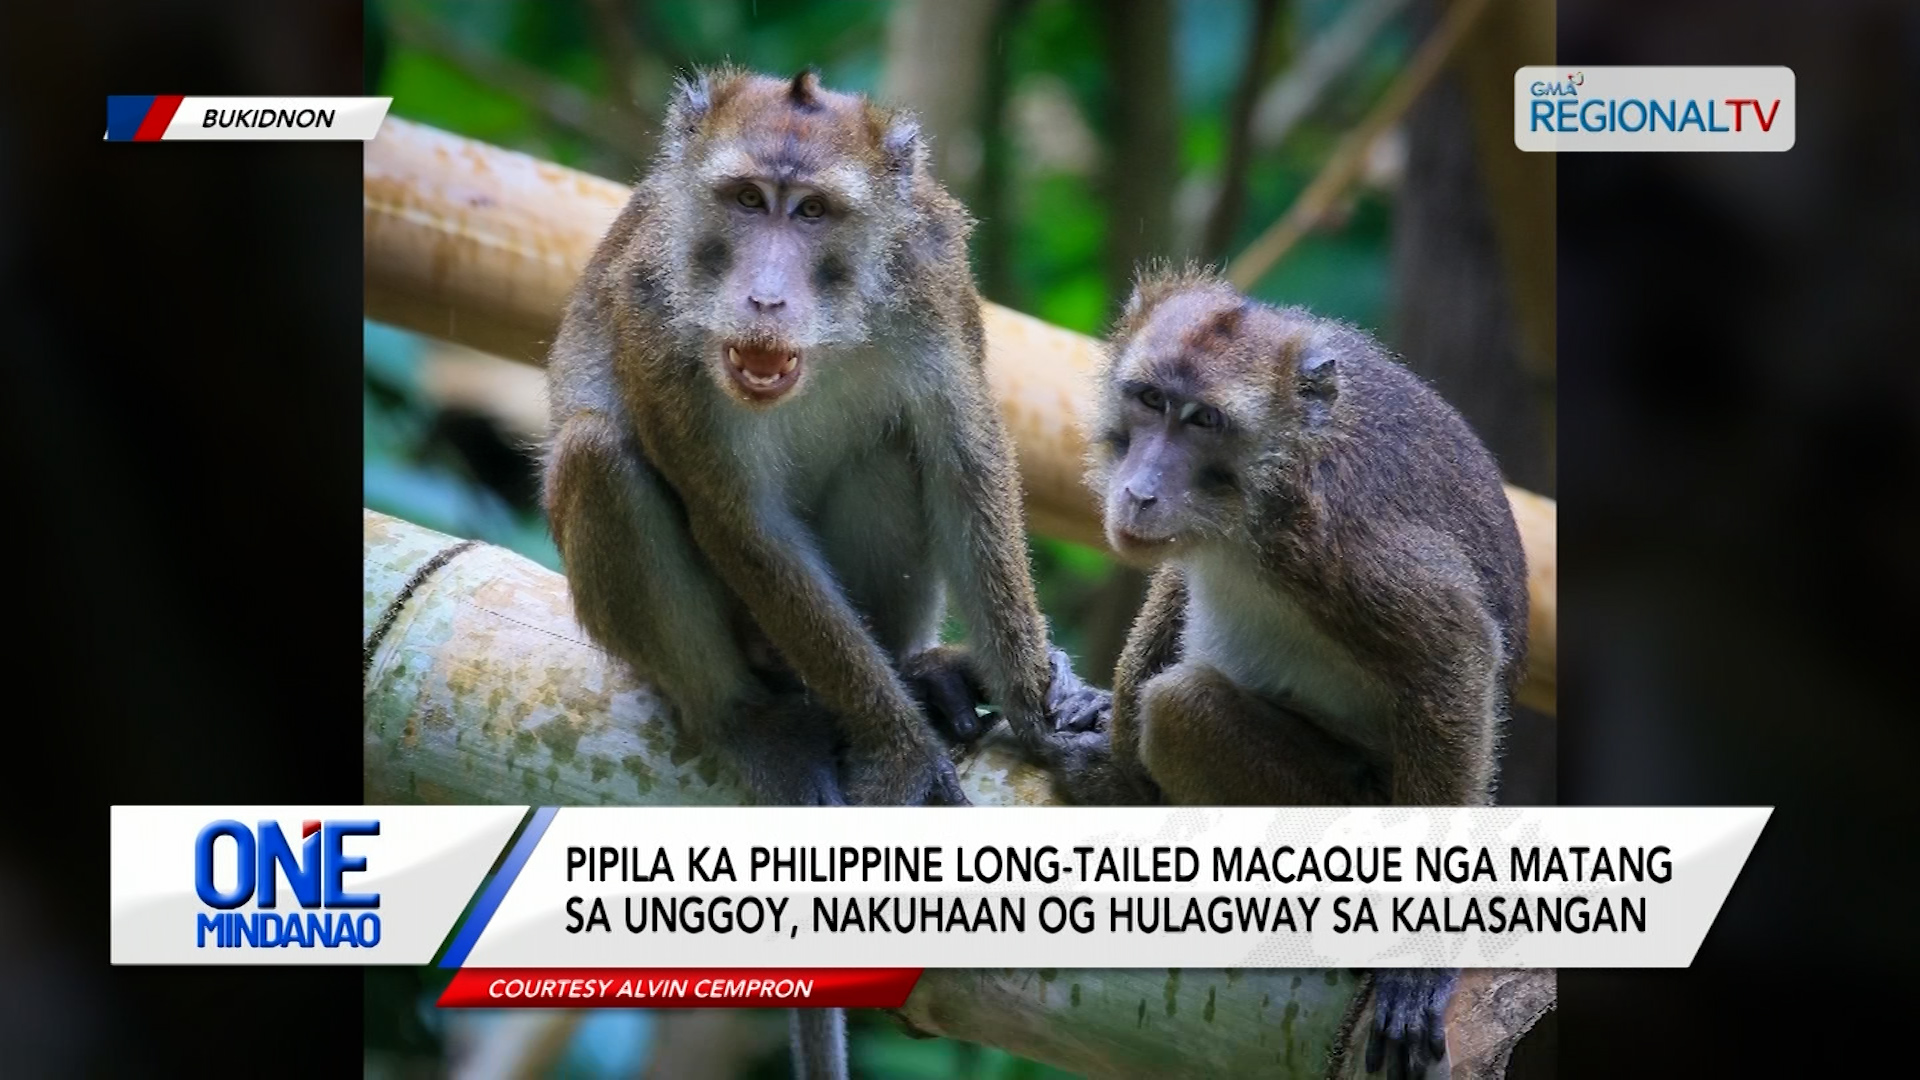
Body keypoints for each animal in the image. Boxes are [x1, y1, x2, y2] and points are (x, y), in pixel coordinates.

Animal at [539, 66, 1103, 1080]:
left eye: (811, 212)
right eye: (744, 201)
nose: (764, 299)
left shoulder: (932, 278)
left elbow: (961, 458)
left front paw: (1038, 707)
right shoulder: (656, 317)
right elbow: (741, 522)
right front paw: (903, 753)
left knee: (893, 445)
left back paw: (920, 669)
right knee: (598, 454)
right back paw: (748, 717)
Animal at [1032, 265, 1529, 1079]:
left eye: (1204, 421)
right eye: (1149, 402)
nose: (1139, 489)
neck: (1258, 495)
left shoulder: (1339, 542)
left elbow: (1454, 657)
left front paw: (1424, 953)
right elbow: (1178, 579)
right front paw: (1108, 752)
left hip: (1356, 815)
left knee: (1182, 709)